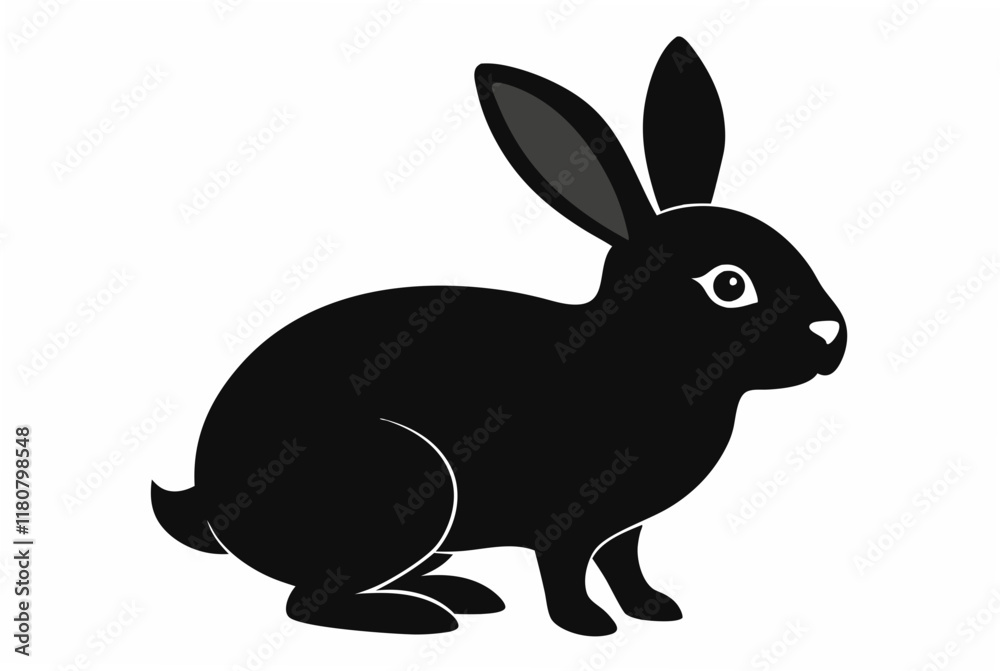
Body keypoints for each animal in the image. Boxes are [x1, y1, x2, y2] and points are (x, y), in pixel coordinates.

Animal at [151, 36, 846, 637]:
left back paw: (462, 594)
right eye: (729, 284)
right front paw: (589, 626)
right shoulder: (565, 521)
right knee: (308, 601)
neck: (640, 358)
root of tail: (211, 503)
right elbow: (565, 572)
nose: (831, 334)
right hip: (407, 488)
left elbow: (624, 563)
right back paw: (423, 617)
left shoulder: (625, 529)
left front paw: (655, 609)